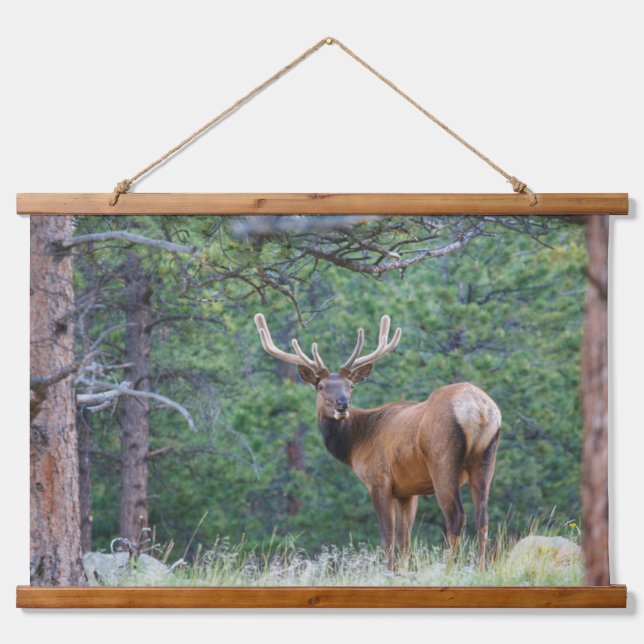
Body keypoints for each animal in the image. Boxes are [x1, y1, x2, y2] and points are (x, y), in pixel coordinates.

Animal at [254, 313, 501, 571]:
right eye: (321, 386)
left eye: (350, 386)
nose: (342, 404)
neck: (355, 445)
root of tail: (480, 409)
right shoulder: (407, 490)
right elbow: (404, 539)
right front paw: (402, 571)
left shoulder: (378, 480)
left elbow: (387, 537)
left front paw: (389, 571)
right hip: (486, 456)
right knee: (482, 517)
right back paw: (481, 568)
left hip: (443, 459)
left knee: (456, 517)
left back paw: (449, 569)